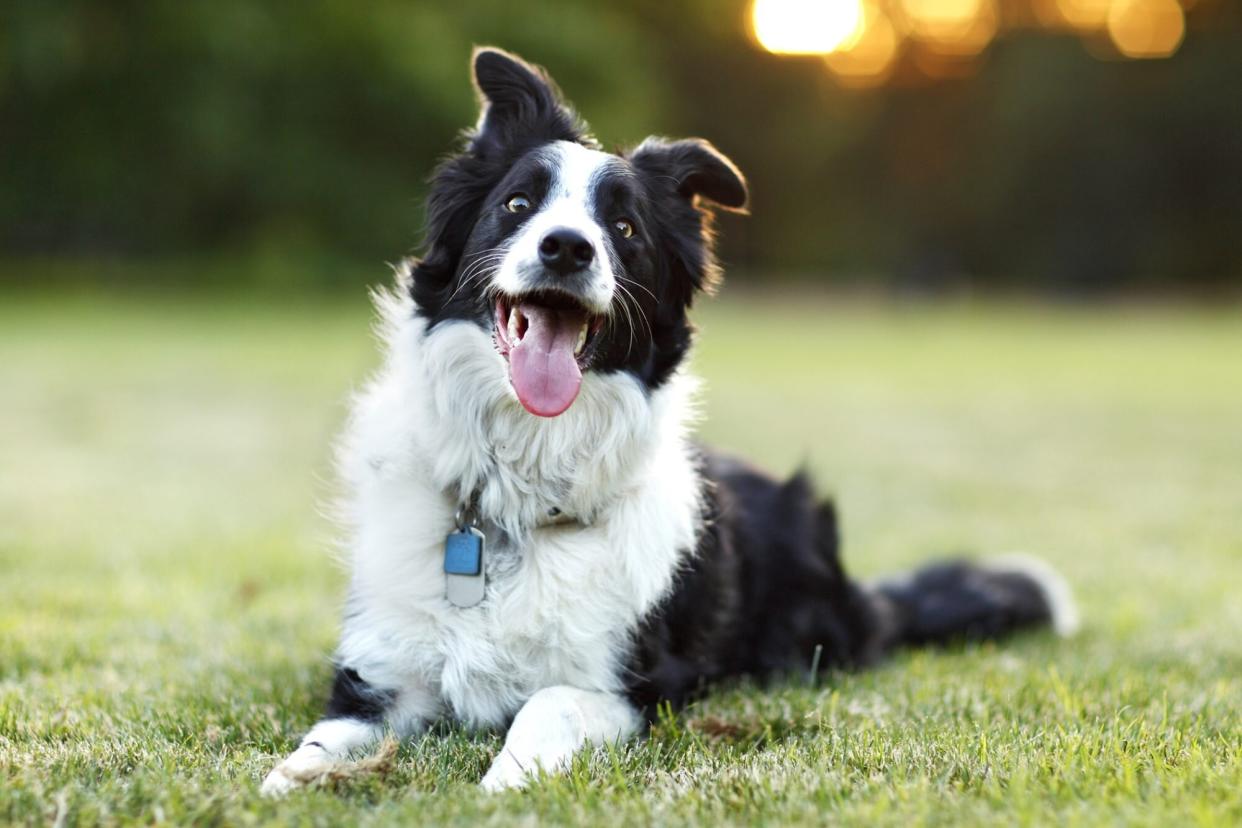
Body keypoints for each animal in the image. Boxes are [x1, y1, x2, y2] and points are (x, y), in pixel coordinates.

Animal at [264, 46, 1078, 794]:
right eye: (518, 206)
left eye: (624, 227)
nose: (567, 247)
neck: (516, 496)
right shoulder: (378, 675)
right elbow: (322, 740)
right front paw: (290, 780)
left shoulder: (640, 687)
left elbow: (549, 702)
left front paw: (502, 781)